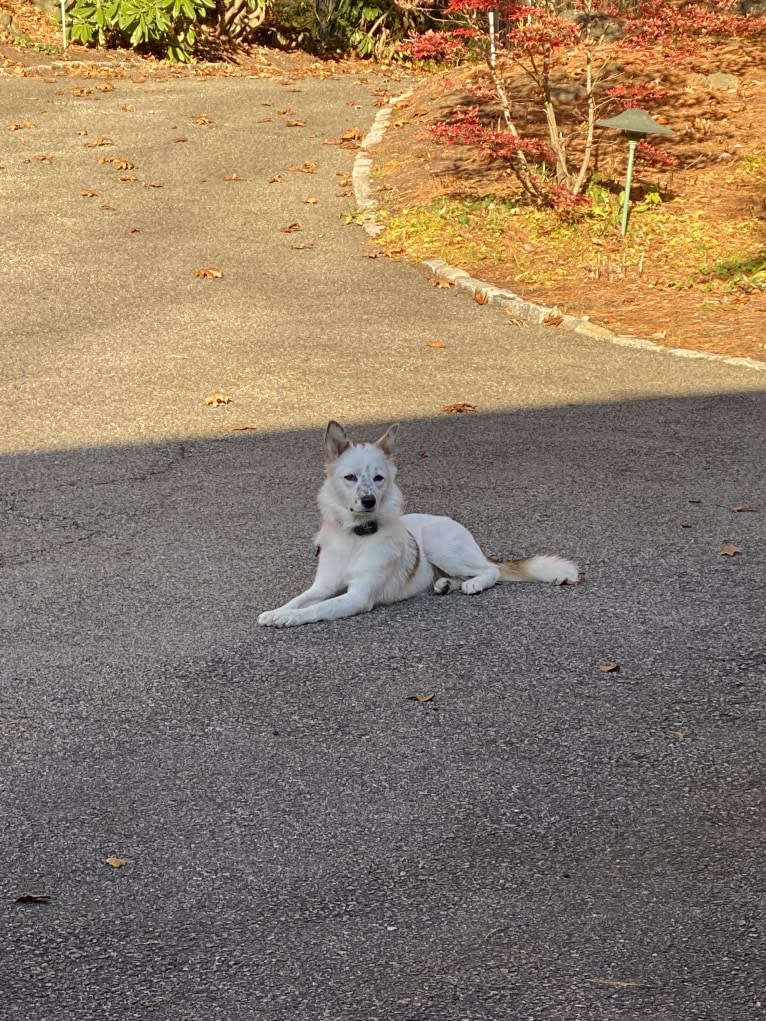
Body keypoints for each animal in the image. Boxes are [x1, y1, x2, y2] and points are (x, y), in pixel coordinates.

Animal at [258, 418, 580, 624]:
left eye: (378, 478)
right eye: (350, 477)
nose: (369, 501)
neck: (356, 535)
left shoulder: (358, 596)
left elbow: (316, 610)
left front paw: (288, 618)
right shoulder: (323, 587)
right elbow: (300, 600)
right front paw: (278, 611)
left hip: (442, 545)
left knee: (492, 571)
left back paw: (474, 583)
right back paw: (446, 584)